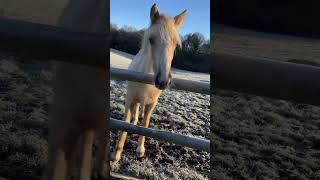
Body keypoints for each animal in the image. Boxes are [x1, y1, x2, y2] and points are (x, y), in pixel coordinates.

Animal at [112, 3, 188, 161]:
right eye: (151, 40)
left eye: (176, 45)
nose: (163, 81)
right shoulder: (129, 99)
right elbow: (125, 123)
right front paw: (116, 154)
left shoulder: (152, 104)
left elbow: (145, 124)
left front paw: (140, 150)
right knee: (135, 111)